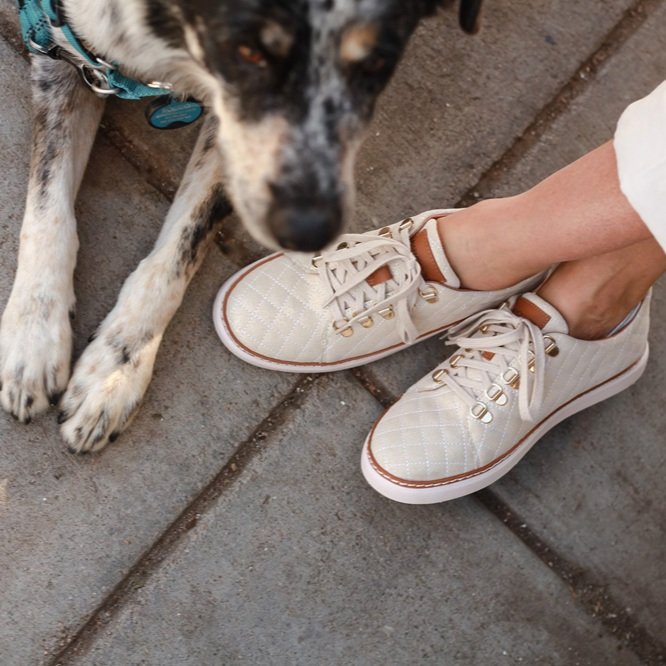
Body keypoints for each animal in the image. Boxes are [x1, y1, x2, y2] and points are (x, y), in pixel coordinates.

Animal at [0, 0, 480, 452]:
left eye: (376, 65)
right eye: (247, 51)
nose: (309, 230)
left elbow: (177, 253)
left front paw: (116, 371)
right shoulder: (60, 51)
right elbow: (48, 206)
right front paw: (34, 335)